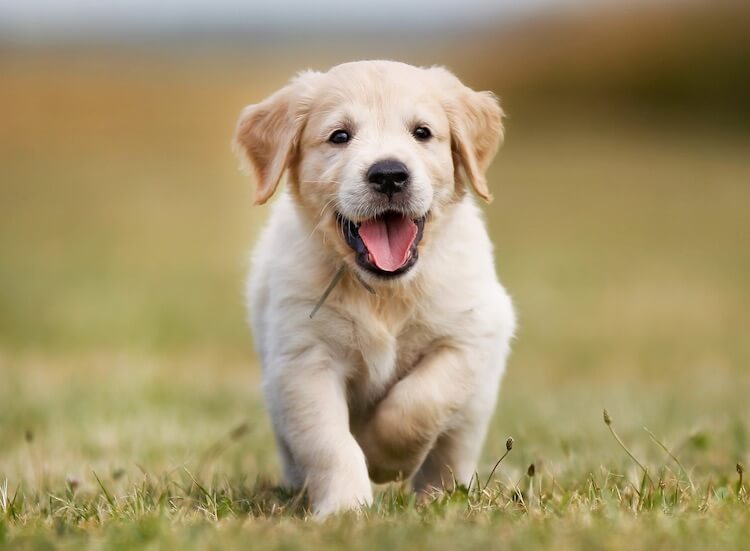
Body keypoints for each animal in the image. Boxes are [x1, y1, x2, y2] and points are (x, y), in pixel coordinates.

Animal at [234, 60, 516, 516]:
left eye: (422, 132)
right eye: (340, 136)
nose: (389, 174)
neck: (385, 292)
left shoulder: (471, 336)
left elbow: (420, 401)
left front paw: (385, 459)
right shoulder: (303, 361)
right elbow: (330, 443)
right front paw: (346, 508)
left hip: (475, 407)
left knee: (451, 450)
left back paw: (440, 496)